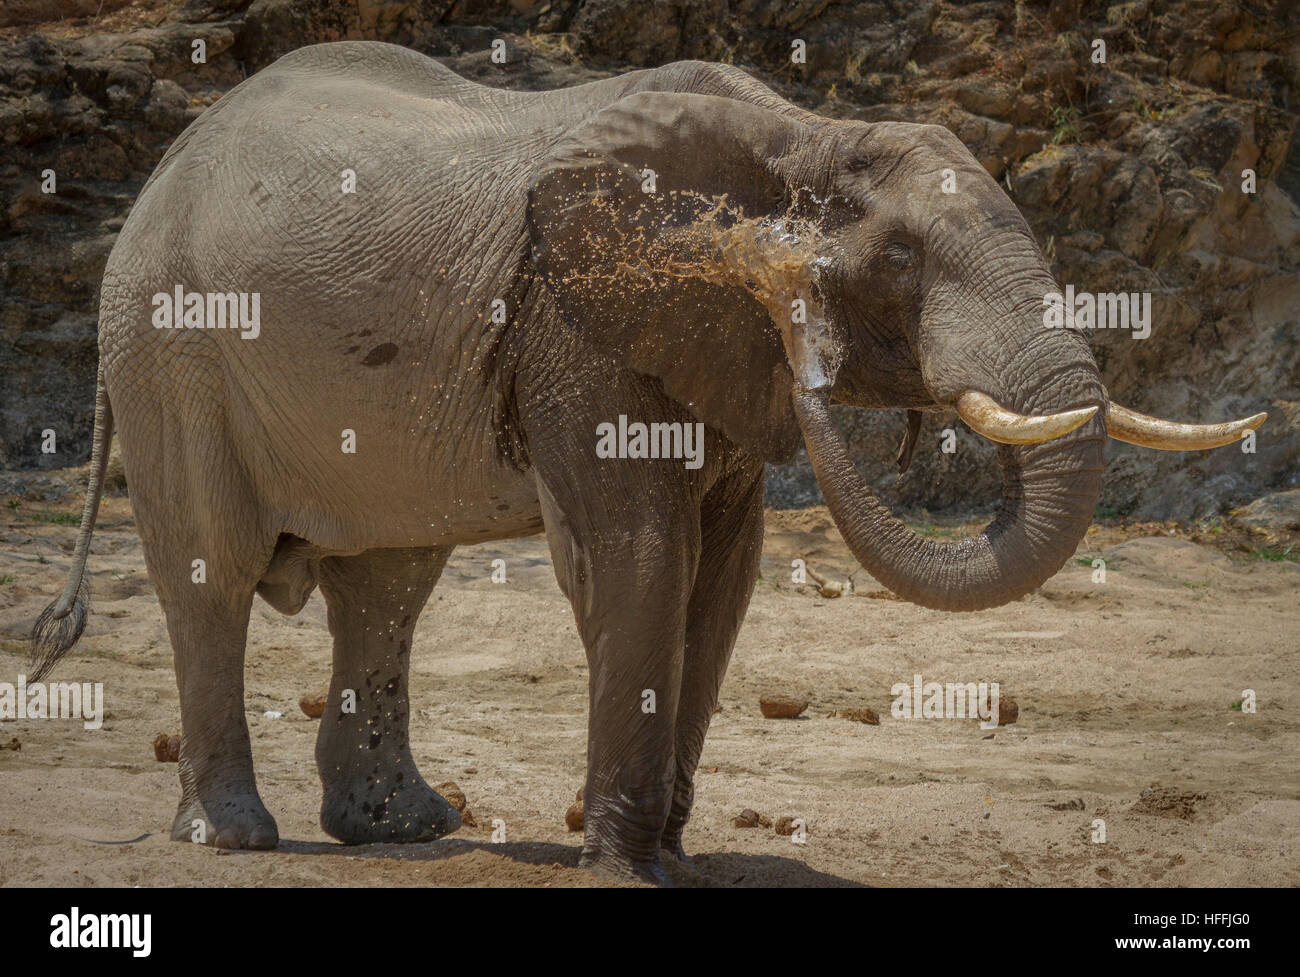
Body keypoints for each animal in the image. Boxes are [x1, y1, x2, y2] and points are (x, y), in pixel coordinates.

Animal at [30, 41, 1263, 883]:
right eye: (901, 258)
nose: (796, 296)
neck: (797, 130)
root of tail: (163, 171)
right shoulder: (576, 327)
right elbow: (641, 553)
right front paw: (627, 868)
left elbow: (722, 574)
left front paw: (670, 859)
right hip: (171, 345)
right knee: (216, 571)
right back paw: (236, 835)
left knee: (386, 584)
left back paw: (405, 829)